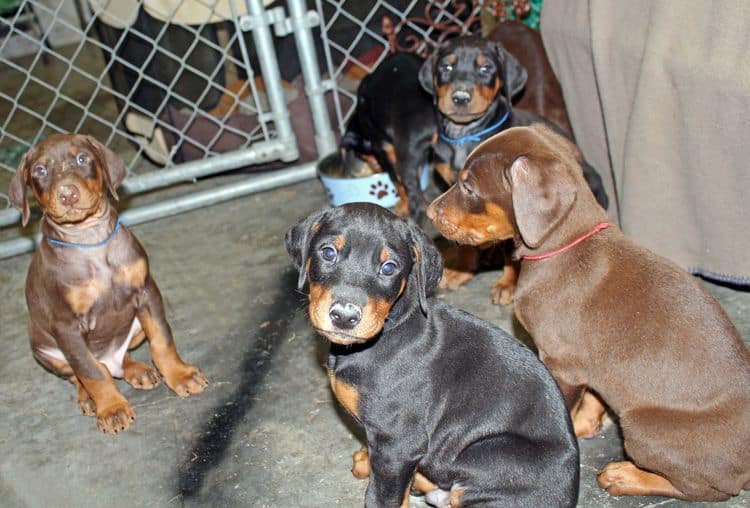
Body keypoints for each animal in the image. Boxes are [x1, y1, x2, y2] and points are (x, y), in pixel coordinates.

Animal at [9, 133, 209, 434]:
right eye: (40, 171)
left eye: (82, 158)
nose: (67, 195)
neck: (89, 239)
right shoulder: (66, 326)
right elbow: (89, 370)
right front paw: (111, 408)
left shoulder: (146, 292)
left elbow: (162, 340)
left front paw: (180, 375)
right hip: (45, 349)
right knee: (84, 372)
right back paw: (89, 398)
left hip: (134, 329)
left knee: (120, 359)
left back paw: (138, 371)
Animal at [284, 203, 580, 508]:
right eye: (328, 252)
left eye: (389, 268)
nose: (344, 316)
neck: (388, 329)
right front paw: (366, 458)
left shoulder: (398, 443)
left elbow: (384, 495)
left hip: (490, 453)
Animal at [428, 125, 750, 502]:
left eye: (468, 186)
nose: (430, 212)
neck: (564, 244)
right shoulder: (588, 361)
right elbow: (594, 395)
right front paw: (584, 425)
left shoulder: (561, 363)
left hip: (643, 426)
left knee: (705, 489)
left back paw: (626, 476)